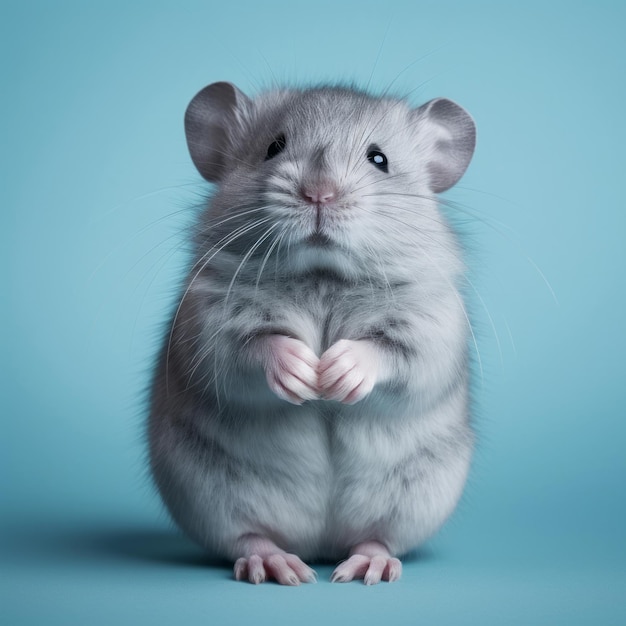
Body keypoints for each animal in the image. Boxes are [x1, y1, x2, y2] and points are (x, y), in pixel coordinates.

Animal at [149, 80, 476, 584]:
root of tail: (319, 543)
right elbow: (248, 348)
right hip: (205, 494)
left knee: (379, 537)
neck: (322, 275)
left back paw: (367, 565)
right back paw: (277, 564)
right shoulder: (207, 322)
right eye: (273, 147)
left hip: (419, 498)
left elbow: (394, 353)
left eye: (379, 159)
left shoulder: (432, 327)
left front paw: (337, 372)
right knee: (244, 537)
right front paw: (304, 371)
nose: (319, 194)